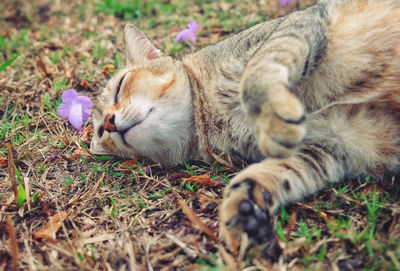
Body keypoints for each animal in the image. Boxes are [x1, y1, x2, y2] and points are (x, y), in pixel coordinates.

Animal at [90, 0, 400, 252]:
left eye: (120, 87)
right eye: (101, 133)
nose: (109, 122)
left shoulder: (293, 28)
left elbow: (255, 75)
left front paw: (271, 116)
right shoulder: (332, 147)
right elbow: (268, 173)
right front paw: (243, 207)